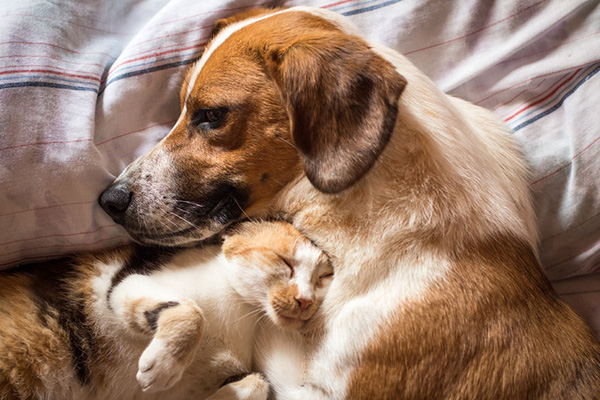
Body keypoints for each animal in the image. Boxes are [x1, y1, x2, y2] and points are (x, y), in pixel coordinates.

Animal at [0, 220, 332, 398]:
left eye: (323, 278)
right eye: (285, 262)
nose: (305, 300)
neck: (243, 315)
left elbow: (258, 383)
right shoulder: (125, 284)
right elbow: (191, 312)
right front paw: (162, 367)